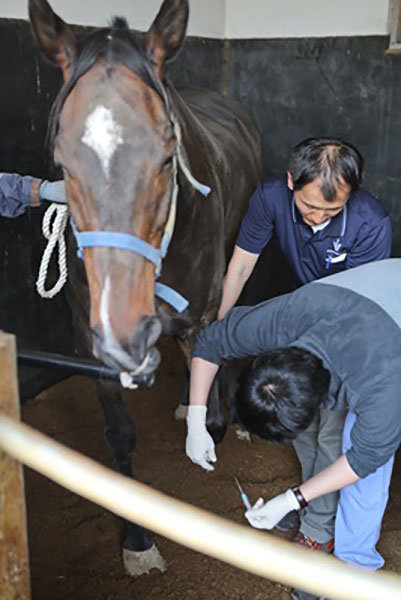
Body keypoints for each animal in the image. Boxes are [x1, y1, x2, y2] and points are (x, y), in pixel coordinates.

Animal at [28, 0, 262, 576]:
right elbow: (119, 437)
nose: (125, 325)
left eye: (166, 155)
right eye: (63, 162)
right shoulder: (91, 341)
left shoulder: (202, 313)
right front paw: (137, 541)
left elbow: (210, 404)